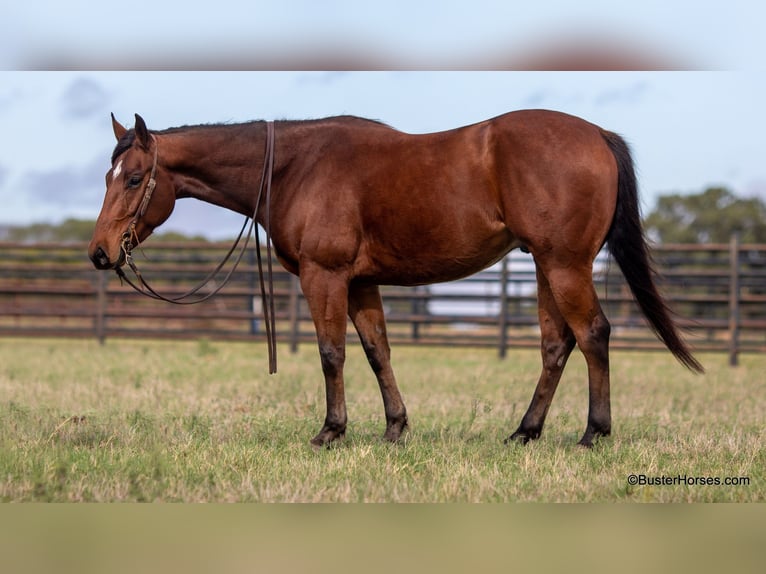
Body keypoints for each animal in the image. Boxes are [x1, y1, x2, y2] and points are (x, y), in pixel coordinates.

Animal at [88, 109, 704, 450]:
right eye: (107, 176)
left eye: (135, 177)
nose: (99, 253)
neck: (294, 167)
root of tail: (597, 135)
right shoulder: (361, 283)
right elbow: (377, 352)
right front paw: (394, 428)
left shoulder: (326, 276)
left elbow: (331, 353)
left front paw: (330, 432)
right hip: (546, 267)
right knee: (558, 345)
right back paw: (524, 433)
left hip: (564, 264)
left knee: (594, 334)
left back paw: (592, 433)